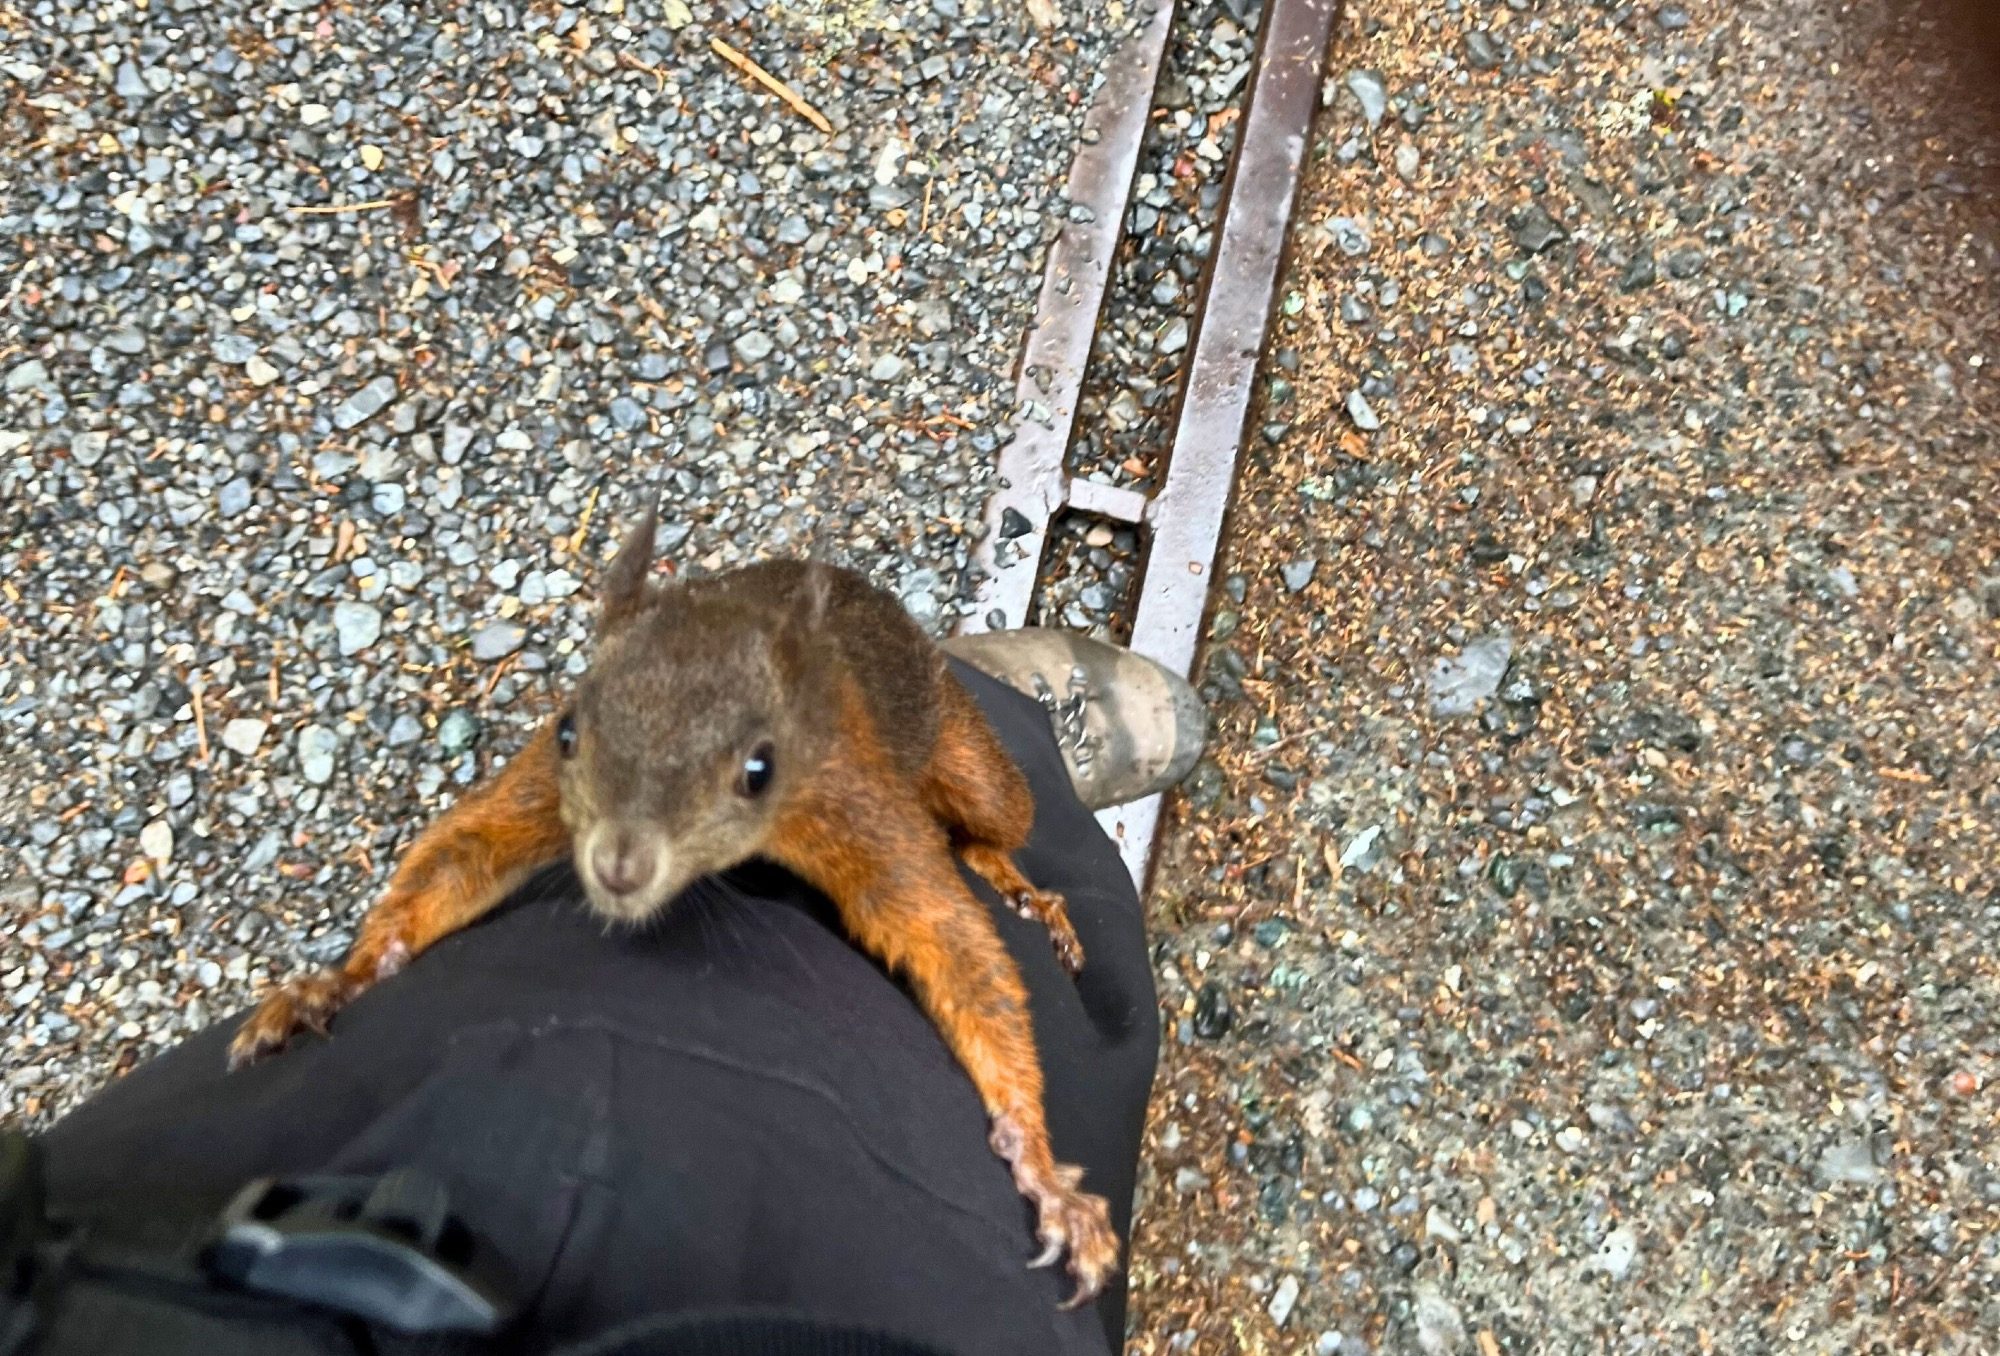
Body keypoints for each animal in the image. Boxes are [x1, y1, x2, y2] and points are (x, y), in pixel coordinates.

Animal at [227, 508, 1117, 1305]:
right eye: (569, 732)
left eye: (760, 769)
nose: (619, 867)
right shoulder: (546, 790)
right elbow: (463, 852)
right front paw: (335, 983)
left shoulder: (848, 795)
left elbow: (950, 940)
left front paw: (1041, 1170)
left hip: (969, 756)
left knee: (989, 822)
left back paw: (1023, 891)